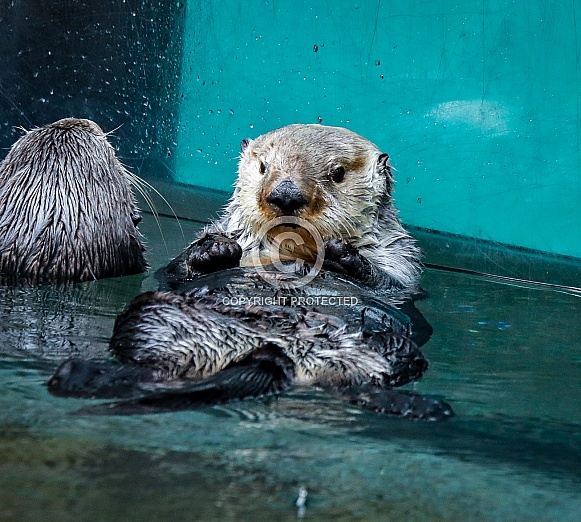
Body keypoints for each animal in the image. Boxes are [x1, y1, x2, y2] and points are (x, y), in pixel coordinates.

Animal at [165, 124, 420, 290]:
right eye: (263, 166)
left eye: (338, 173)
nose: (286, 195)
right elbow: (173, 270)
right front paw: (214, 248)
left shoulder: (401, 260)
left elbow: (391, 283)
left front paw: (341, 253)